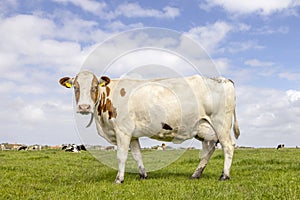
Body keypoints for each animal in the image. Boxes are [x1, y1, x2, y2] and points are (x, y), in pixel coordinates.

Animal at [59, 71, 240, 184]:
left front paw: (119, 179)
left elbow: (121, 156)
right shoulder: (132, 135)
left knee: (228, 146)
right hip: (204, 128)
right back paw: (196, 174)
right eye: (75, 87)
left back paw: (224, 176)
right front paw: (143, 176)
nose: (84, 107)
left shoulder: (122, 131)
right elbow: (137, 155)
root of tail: (223, 79)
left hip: (221, 123)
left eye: (95, 86)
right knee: (209, 149)